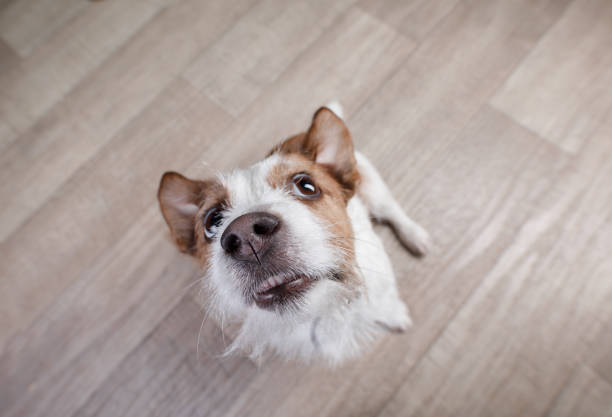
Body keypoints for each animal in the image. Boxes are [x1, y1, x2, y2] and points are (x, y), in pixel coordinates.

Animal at [157, 101, 430, 364]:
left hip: (373, 186)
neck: (324, 307)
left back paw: (416, 237)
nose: (248, 237)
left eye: (306, 186)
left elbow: (385, 303)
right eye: (212, 221)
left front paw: (396, 316)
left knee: (392, 210)